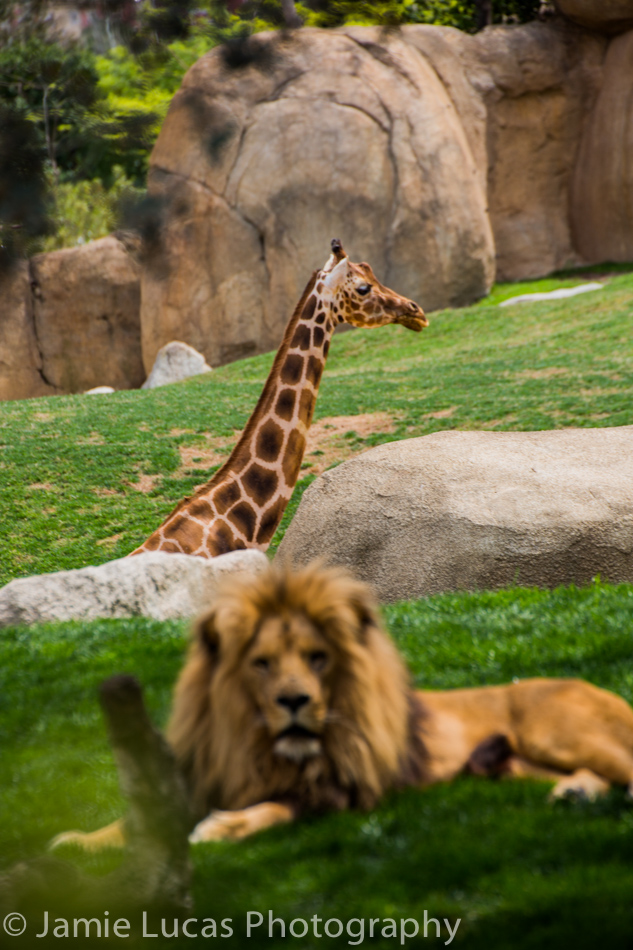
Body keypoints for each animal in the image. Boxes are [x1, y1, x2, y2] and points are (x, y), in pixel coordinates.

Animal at [53, 563, 633, 848]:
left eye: (318, 658)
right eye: (261, 663)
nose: (295, 700)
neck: (257, 746)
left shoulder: (342, 790)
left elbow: (278, 807)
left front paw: (223, 828)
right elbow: (132, 824)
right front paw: (73, 842)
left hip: (554, 731)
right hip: (518, 764)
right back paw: (574, 793)